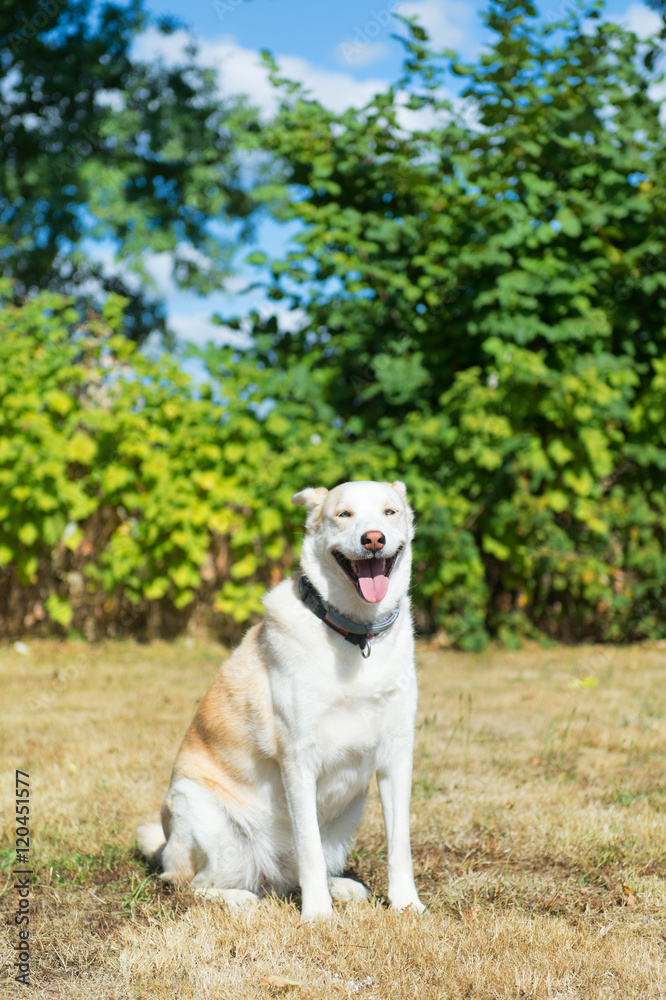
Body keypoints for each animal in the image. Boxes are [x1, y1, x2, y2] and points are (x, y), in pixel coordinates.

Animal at [137, 480, 422, 916]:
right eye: (344, 514)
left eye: (389, 512)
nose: (373, 539)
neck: (355, 634)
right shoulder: (298, 760)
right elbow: (309, 848)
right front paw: (318, 915)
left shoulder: (396, 754)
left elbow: (399, 845)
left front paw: (407, 905)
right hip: (201, 815)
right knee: (192, 884)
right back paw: (241, 898)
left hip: (346, 817)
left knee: (294, 875)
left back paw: (340, 886)